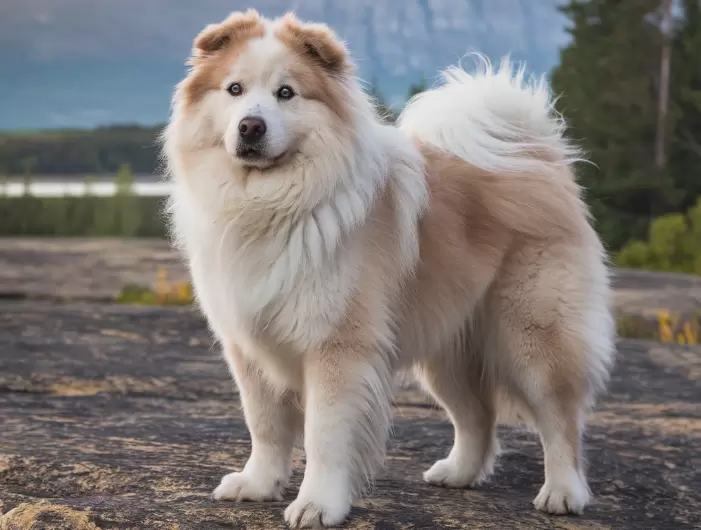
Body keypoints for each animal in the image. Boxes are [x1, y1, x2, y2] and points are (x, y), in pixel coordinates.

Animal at [163, 10, 612, 524]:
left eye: (286, 93)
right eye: (234, 90)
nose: (251, 127)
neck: (270, 204)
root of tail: (536, 157)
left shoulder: (336, 348)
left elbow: (324, 437)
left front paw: (318, 504)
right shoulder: (249, 347)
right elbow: (265, 426)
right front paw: (258, 485)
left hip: (534, 338)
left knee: (560, 421)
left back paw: (563, 493)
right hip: (448, 351)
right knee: (477, 416)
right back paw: (458, 473)